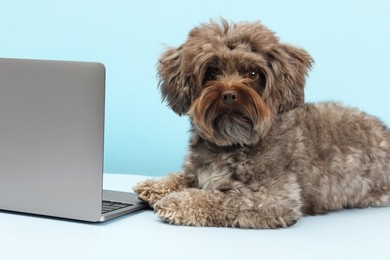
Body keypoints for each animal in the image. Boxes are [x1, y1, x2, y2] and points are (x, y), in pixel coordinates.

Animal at [134, 19, 390, 229]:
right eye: (211, 73)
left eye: (253, 73)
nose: (229, 95)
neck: (233, 142)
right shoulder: (199, 169)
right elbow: (185, 175)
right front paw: (157, 185)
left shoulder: (272, 199)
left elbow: (221, 197)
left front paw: (178, 201)